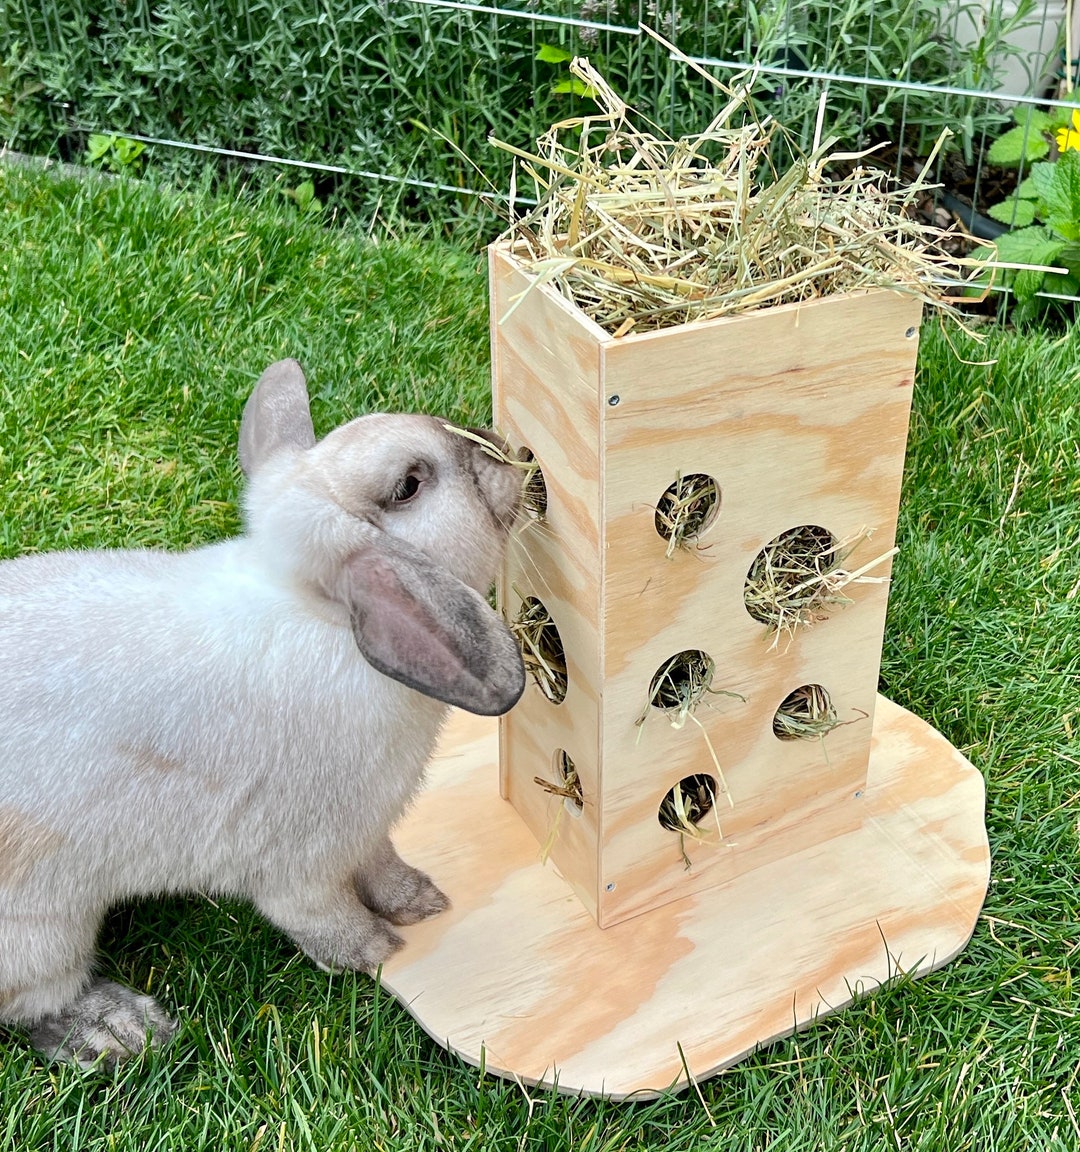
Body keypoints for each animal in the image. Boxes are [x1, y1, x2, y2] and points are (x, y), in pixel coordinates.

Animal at [0, 358, 526, 1068]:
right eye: (409, 486)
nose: (499, 446)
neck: (327, 617)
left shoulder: (367, 830)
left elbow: (383, 866)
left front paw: (421, 902)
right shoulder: (302, 862)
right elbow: (322, 917)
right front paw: (376, 952)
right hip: (43, 931)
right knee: (32, 1005)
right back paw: (120, 1030)